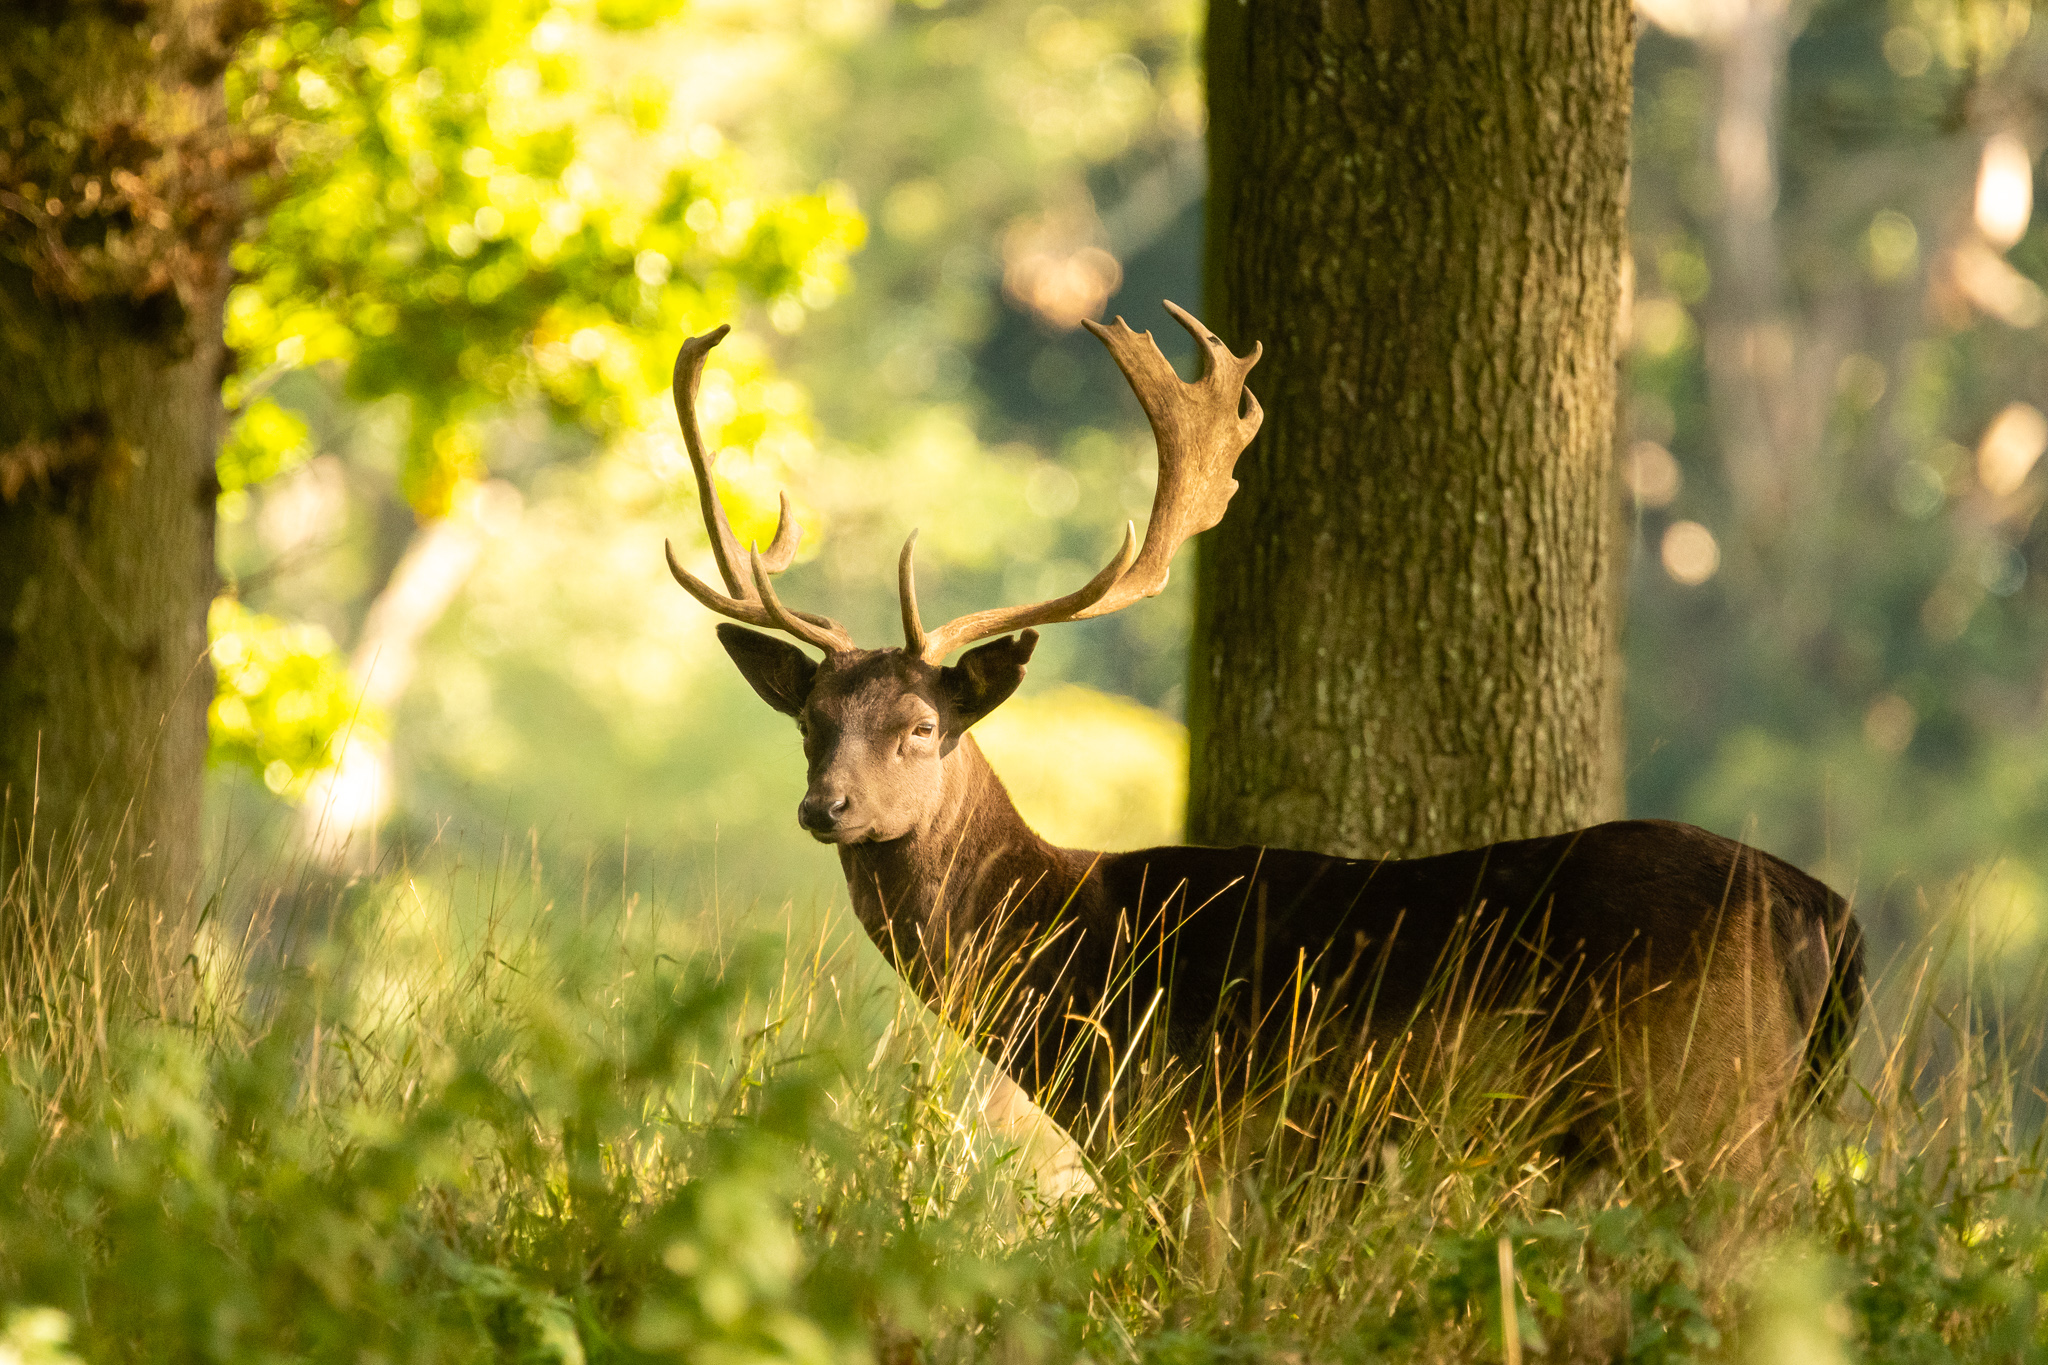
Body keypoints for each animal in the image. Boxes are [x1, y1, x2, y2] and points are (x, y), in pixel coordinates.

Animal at [661, 302, 1866, 1193]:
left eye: (920, 728)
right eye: (810, 722)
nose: (826, 806)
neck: (1073, 976)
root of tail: (1821, 909)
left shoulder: (1189, 1138)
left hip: (1701, 1101)